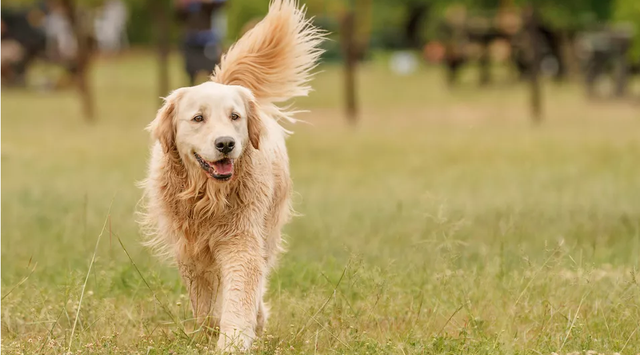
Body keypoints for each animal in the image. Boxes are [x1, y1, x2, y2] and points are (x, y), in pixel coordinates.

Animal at [138, 0, 322, 350]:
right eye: (198, 118)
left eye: (235, 116)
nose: (226, 143)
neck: (207, 196)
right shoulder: (190, 249)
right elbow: (204, 302)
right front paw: (210, 332)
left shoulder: (241, 241)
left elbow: (239, 294)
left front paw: (233, 341)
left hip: (268, 228)